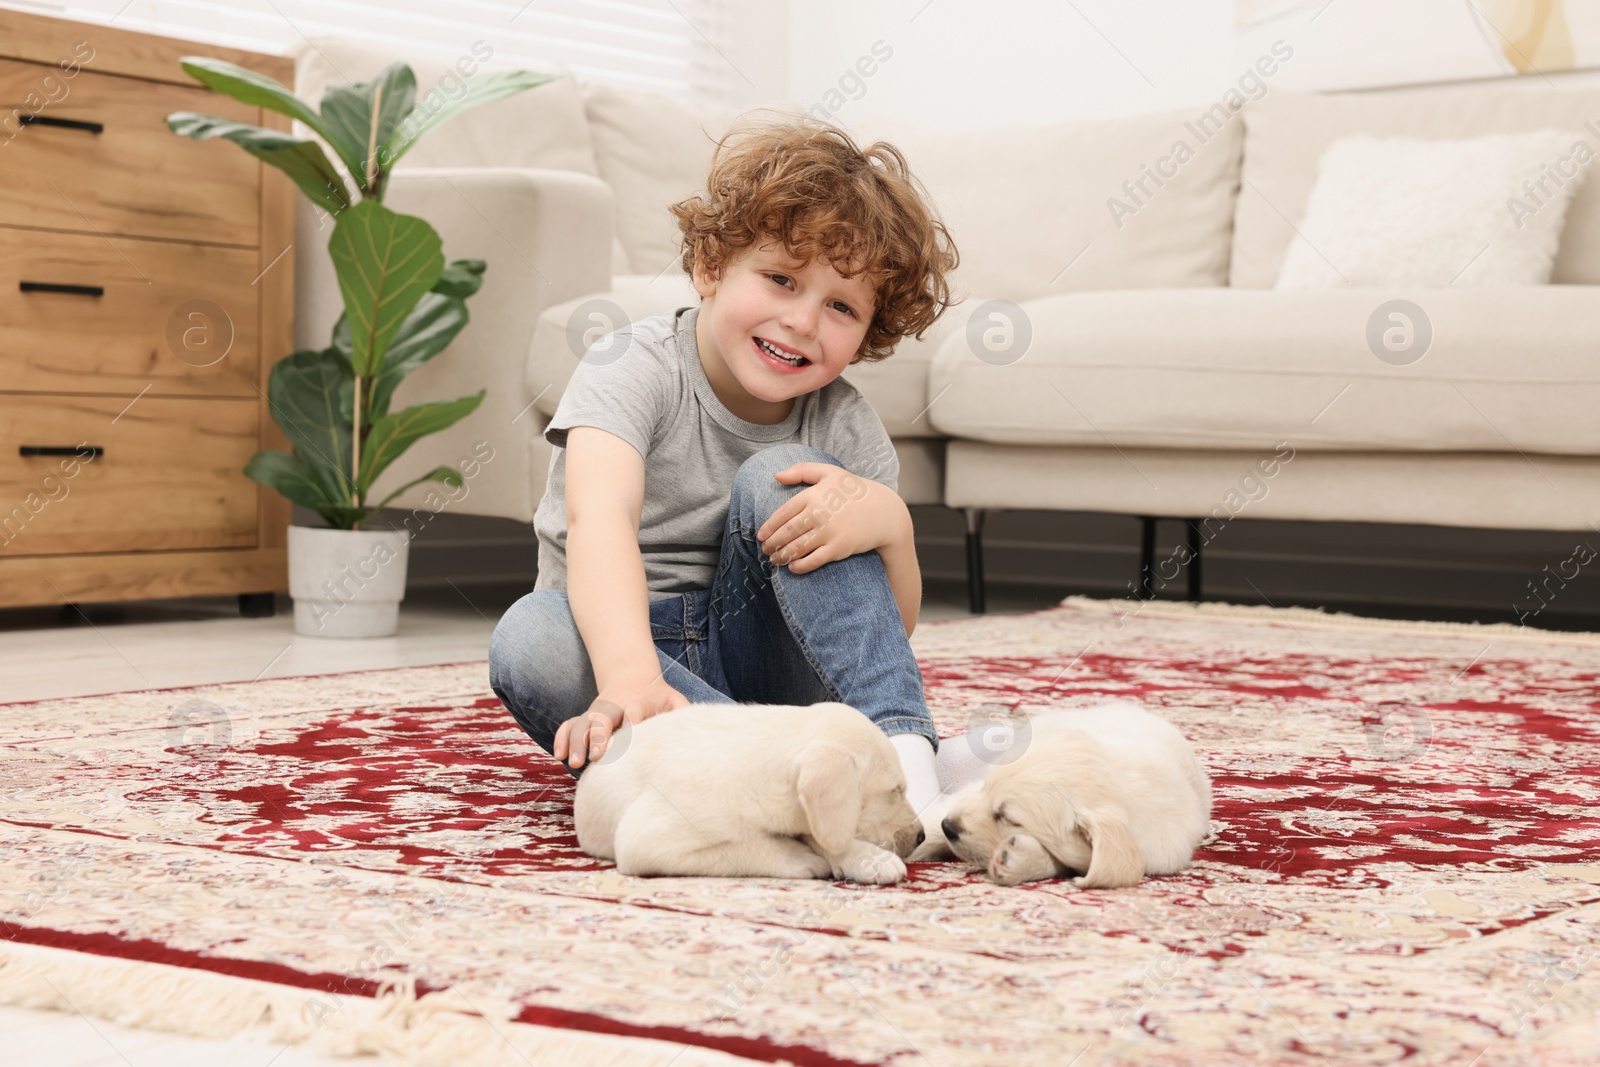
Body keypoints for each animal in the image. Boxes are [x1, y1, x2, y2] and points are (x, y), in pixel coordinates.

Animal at [576, 700, 928, 883]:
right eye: (895, 790)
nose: (922, 836)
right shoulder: (648, 838)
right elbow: (743, 848)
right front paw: (799, 857)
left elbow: (823, 835)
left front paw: (865, 857)